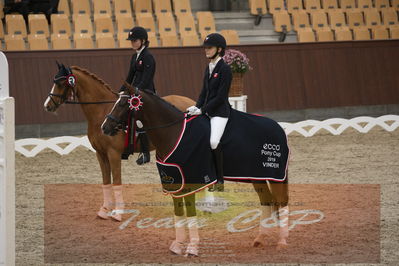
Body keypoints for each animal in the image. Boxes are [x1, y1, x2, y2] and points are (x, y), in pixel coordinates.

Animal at [43, 64, 195, 222]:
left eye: (60, 83)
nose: (47, 105)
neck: (101, 113)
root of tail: (190, 102)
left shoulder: (113, 153)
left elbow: (116, 182)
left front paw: (118, 213)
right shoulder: (100, 154)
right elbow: (106, 182)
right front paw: (104, 210)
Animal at [101, 87, 290, 256]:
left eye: (124, 104)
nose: (104, 127)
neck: (174, 132)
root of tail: (278, 128)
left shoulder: (191, 182)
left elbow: (191, 213)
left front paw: (192, 248)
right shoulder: (175, 183)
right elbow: (178, 213)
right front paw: (177, 245)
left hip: (275, 176)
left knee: (281, 201)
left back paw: (281, 242)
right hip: (258, 176)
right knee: (267, 201)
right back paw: (261, 238)